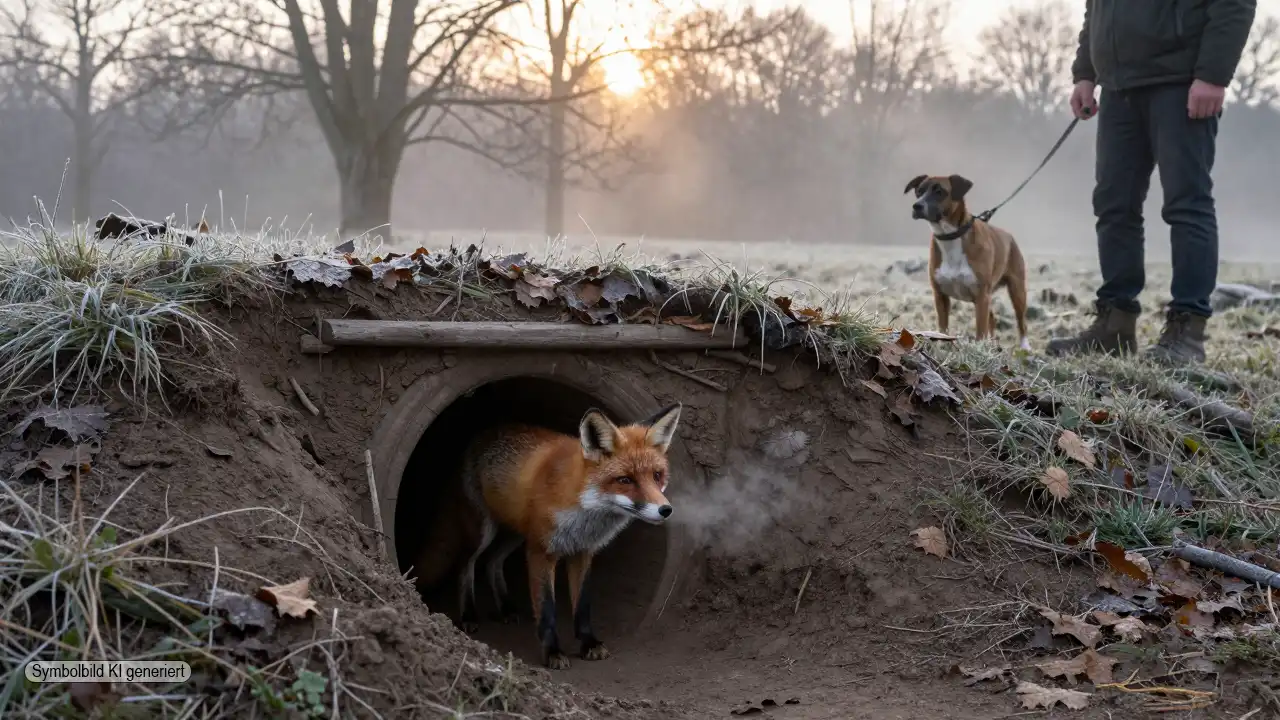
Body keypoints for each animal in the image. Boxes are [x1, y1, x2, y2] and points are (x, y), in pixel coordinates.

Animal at [456, 403, 682, 670]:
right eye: (625, 480)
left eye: (657, 475)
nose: (665, 510)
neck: (581, 508)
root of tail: (486, 430)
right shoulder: (540, 551)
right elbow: (546, 609)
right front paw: (552, 652)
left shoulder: (582, 552)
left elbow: (582, 605)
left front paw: (589, 643)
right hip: (485, 531)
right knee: (468, 565)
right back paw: (468, 614)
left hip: (516, 534)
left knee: (492, 562)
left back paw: (506, 608)